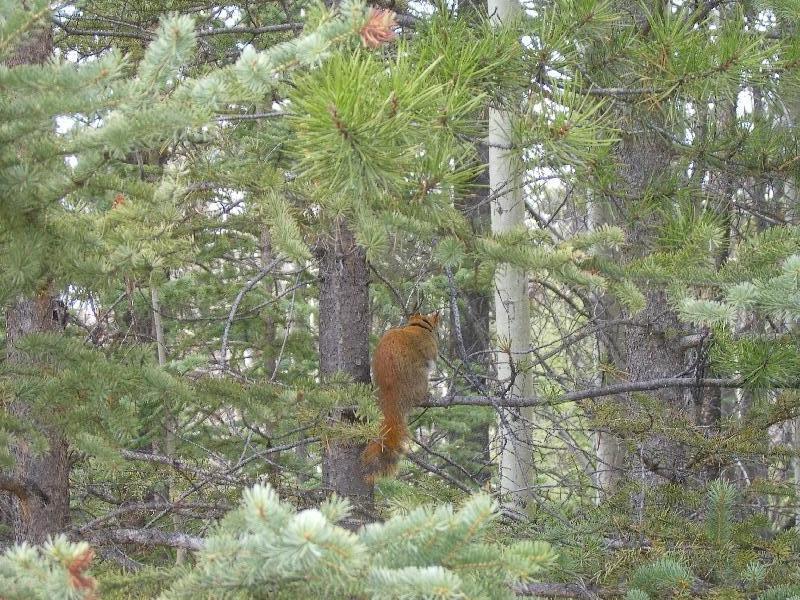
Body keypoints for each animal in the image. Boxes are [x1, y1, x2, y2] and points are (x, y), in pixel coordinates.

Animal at [360, 312, 438, 480]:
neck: (417, 325)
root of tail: (391, 393)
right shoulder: (428, 345)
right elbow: (432, 355)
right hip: (419, 379)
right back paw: (426, 395)